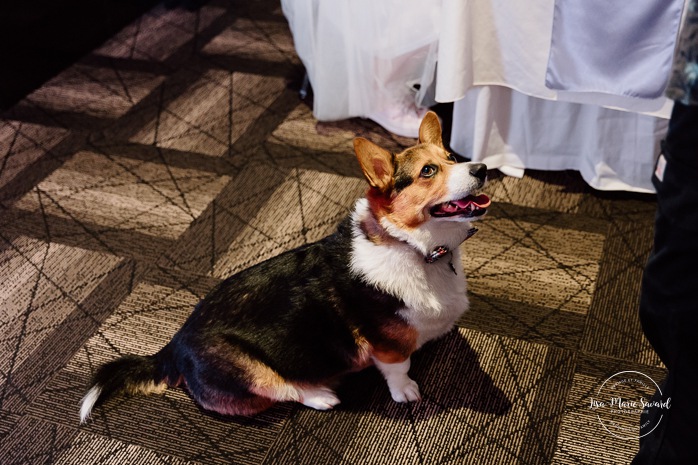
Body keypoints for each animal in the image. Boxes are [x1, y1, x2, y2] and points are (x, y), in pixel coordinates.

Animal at [79, 111, 486, 420]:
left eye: (452, 158)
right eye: (428, 171)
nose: (482, 167)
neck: (414, 247)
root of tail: (172, 348)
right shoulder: (387, 346)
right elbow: (398, 368)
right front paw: (407, 391)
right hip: (254, 372)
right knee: (284, 389)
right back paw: (321, 394)